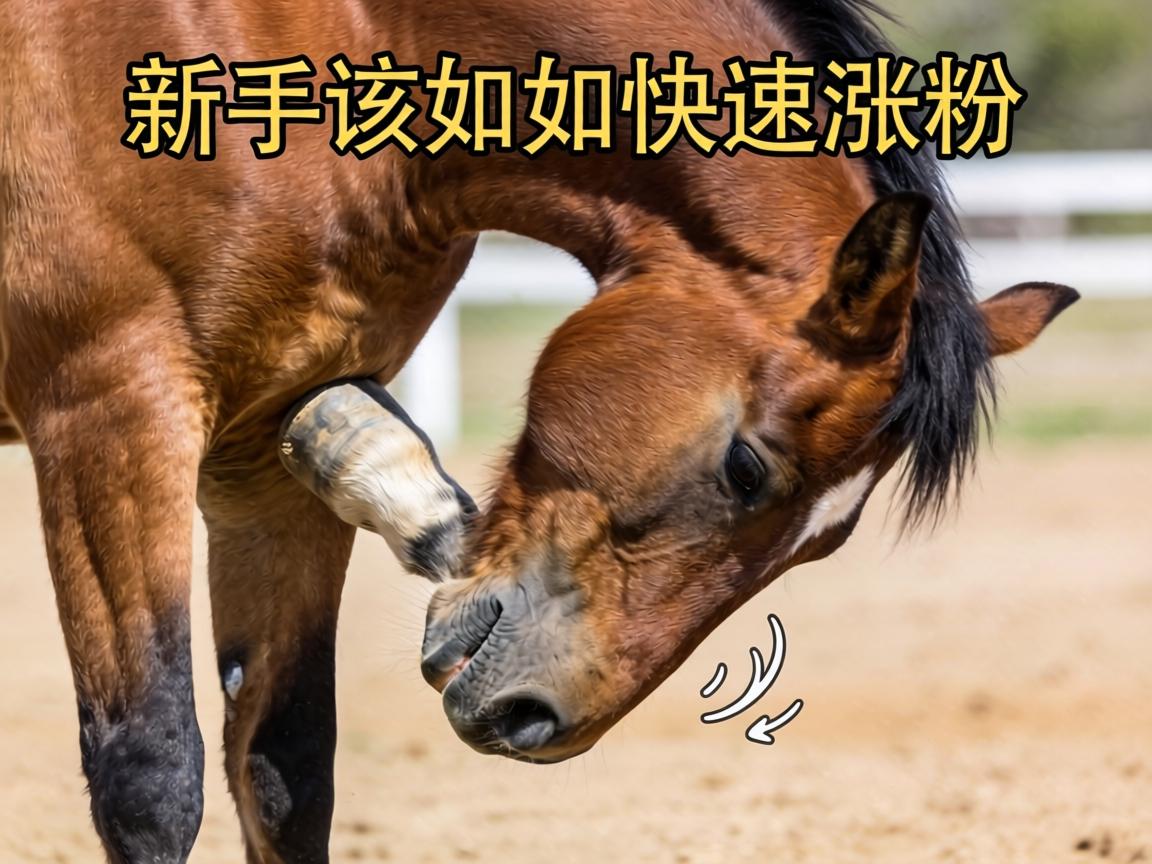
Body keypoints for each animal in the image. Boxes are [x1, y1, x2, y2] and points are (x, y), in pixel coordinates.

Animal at [0, 0, 1076, 859]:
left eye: (828, 543)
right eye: (745, 468)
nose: (536, 717)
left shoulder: (269, 449)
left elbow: (284, 768)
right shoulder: (111, 413)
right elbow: (151, 773)